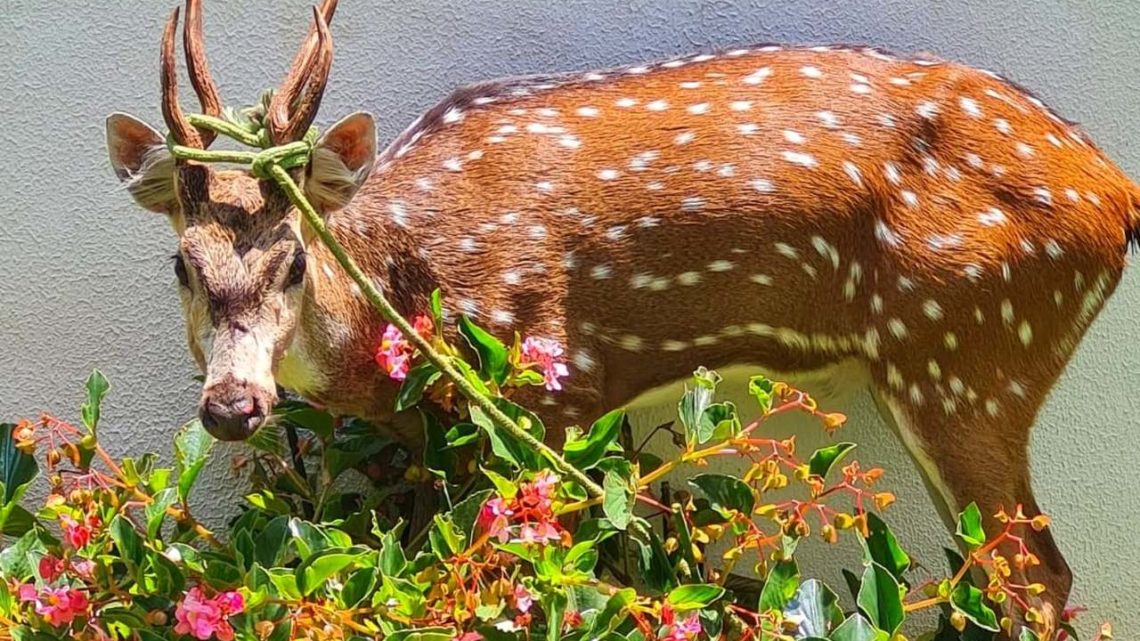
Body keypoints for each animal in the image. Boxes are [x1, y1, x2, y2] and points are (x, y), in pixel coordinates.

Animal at [104, 0, 1130, 625]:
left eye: (290, 260)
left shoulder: (551, 381)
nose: (232, 404)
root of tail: (1119, 198)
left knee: (1039, 575)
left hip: (972, 352)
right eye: (182, 262)